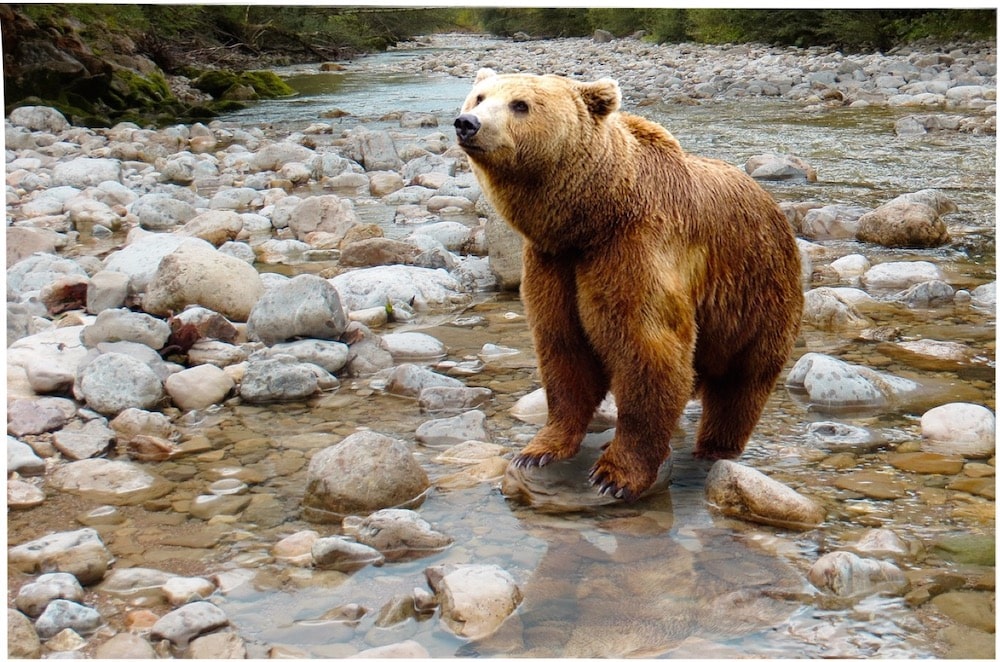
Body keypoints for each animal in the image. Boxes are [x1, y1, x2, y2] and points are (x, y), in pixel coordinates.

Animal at [454, 68, 804, 504]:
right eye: (479, 97)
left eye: (520, 104)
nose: (467, 123)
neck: (592, 217)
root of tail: (775, 207)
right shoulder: (554, 263)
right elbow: (563, 349)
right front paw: (538, 450)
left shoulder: (634, 249)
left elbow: (647, 351)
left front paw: (614, 474)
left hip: (756, 293)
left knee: (741, 383)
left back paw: (714, 446)